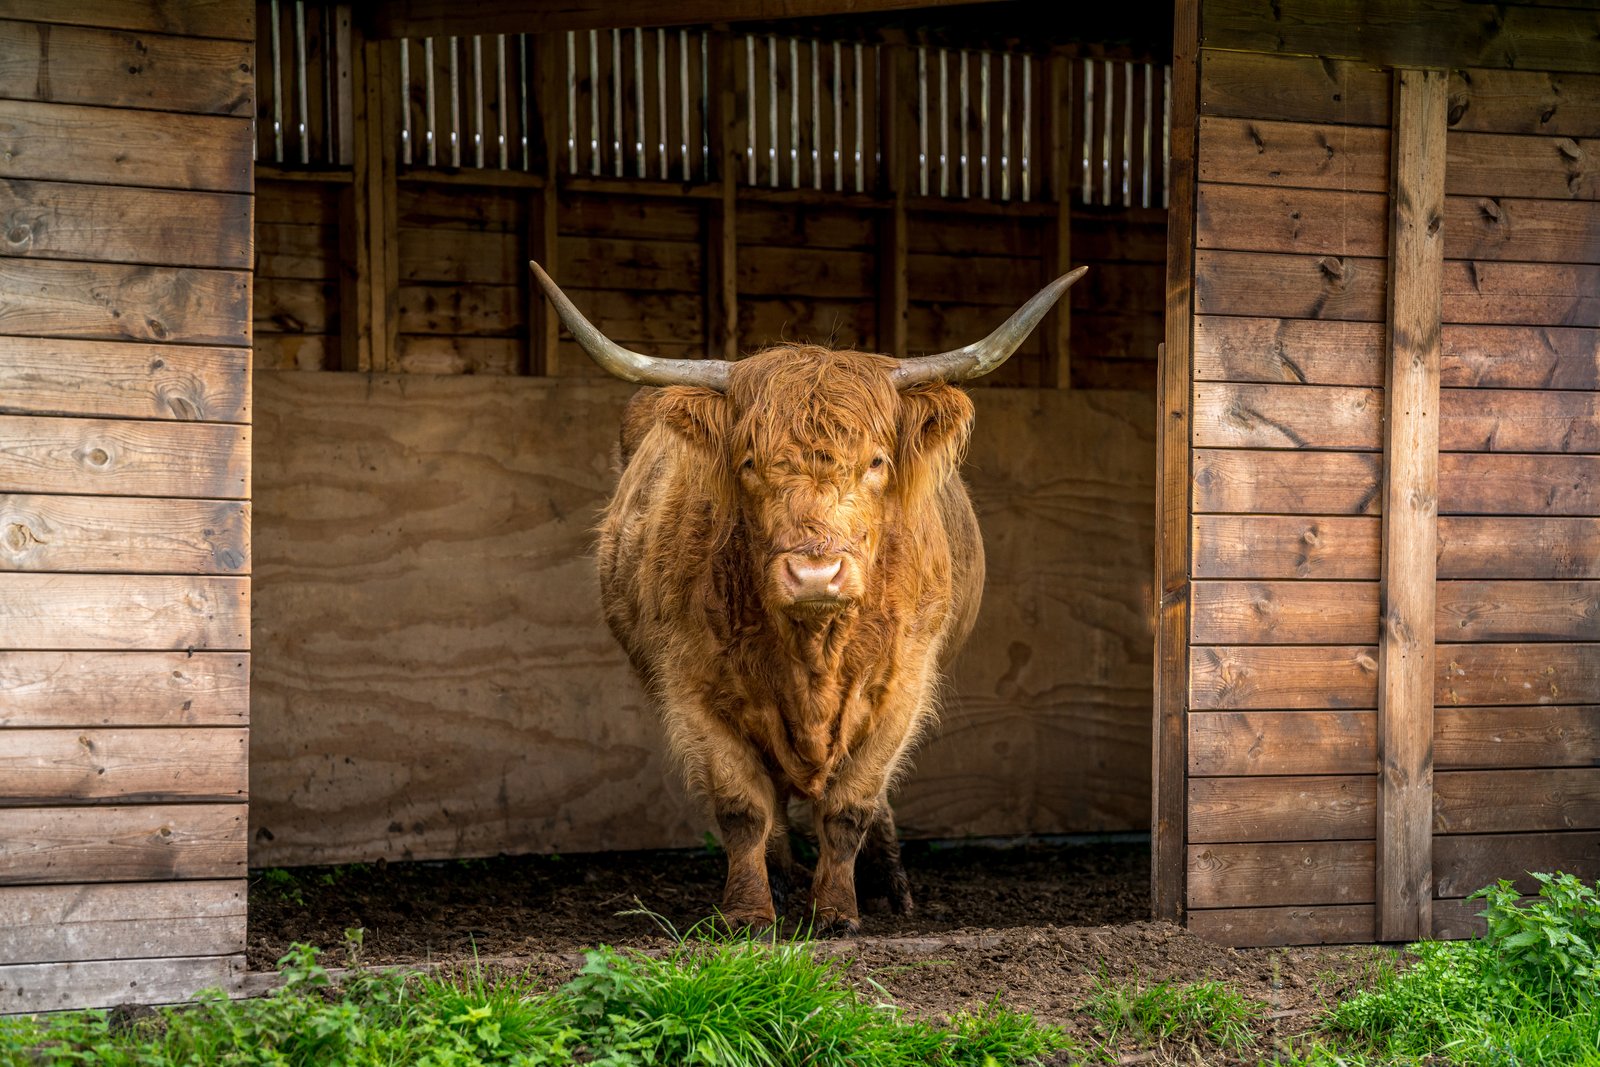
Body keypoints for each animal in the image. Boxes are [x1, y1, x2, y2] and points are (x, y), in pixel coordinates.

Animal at [531, 262, 1086, 933]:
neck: (812, 651)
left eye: (876, 461)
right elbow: (743, 807)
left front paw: (839, 912)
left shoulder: (903, 685)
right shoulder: (691, 686)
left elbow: (852, 805)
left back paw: (889, 886)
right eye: (749, 461)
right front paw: (749, 913)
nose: (815, 574)